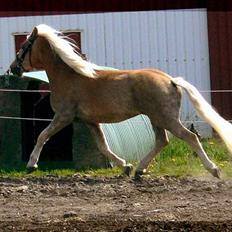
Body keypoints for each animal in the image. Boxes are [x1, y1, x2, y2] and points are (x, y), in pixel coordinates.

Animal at [8, 24, 232, 179]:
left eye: (24, 46)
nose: (13, 68)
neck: (69, 76)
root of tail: (170, 80)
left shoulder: (64, 116)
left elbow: (42, 136)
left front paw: (31, 165)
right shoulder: (90, 121)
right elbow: (104, 147)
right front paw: (125, 166)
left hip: (166, 119)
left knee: (190, 138)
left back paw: (214, 170)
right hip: (156, 119)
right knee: (162, 141)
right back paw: (139, 170)